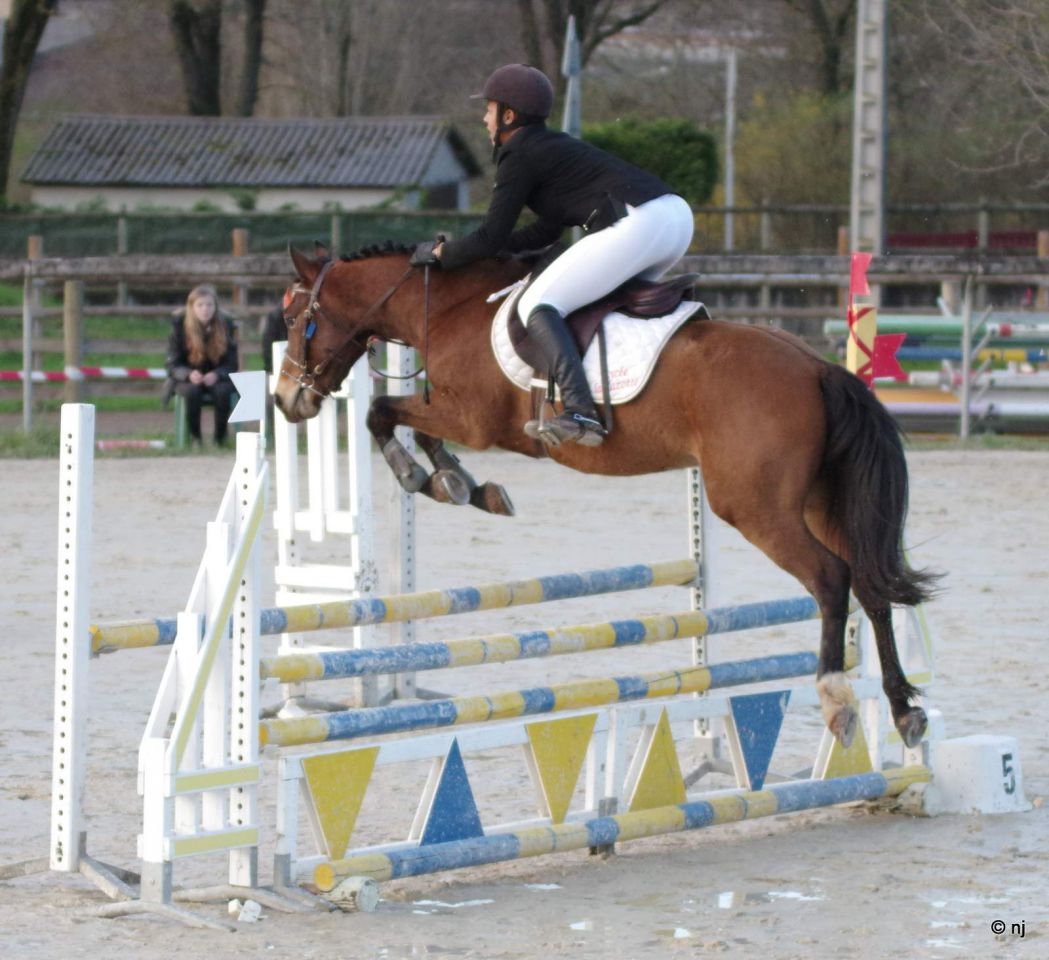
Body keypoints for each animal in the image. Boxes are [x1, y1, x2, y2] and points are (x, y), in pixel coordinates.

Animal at [273, 242, 940, 751]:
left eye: (294, 319)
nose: (285, 402)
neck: (447, 309)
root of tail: (818, 368)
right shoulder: (459, 417)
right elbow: (412, 429)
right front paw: (464, 484)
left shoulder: (472, 417)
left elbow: (383, 414)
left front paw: (425, 476)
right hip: (821, 504)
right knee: (870, 585)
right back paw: (904, 710)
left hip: (756, 508)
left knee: (831, 579)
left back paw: (837, 699)